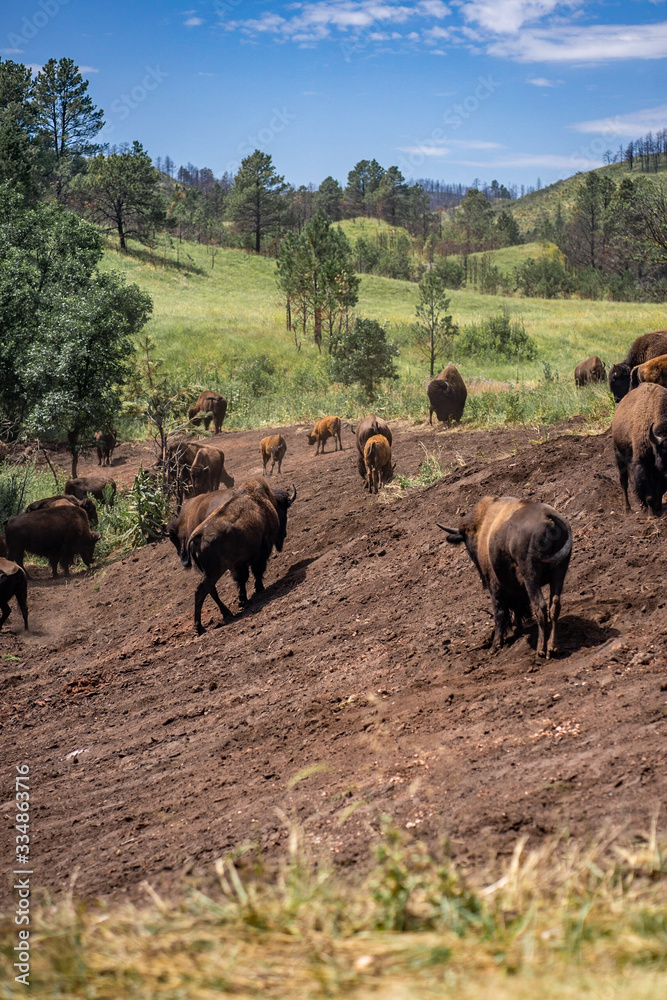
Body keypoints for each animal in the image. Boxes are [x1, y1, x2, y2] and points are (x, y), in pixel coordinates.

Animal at [185, 476, 294, 632]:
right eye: (283, 512)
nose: (284, 534)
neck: (265, 501)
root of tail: (197, 536)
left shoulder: (237, 564)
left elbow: (242, 579)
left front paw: (243, 599)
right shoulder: (261, 550)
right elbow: (256, 571)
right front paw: (258, 589)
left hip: (209, 572)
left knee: (210, 590)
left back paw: (226, 613)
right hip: (214, 572)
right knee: (200, 591)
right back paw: (200, 628)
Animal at [438, 496, 576, 660]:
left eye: (466, 539)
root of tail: (548, 516)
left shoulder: (495, 585)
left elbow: (499, 612)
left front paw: (495, 645)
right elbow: (517, 607)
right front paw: (517, 627)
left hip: (531, 577)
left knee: (540, 607)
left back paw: (540, 650)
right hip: (559, 572)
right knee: (554, 606)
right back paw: (552, 648)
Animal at [612, 380, 667, 516]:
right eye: (665, 453)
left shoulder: (658, 471)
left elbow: (660, 490)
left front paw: (658, 508)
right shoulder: (642, 463)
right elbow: (648, 492)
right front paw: (651, 513)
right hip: (618, 456)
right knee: (624, 482)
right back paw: (628, 509)